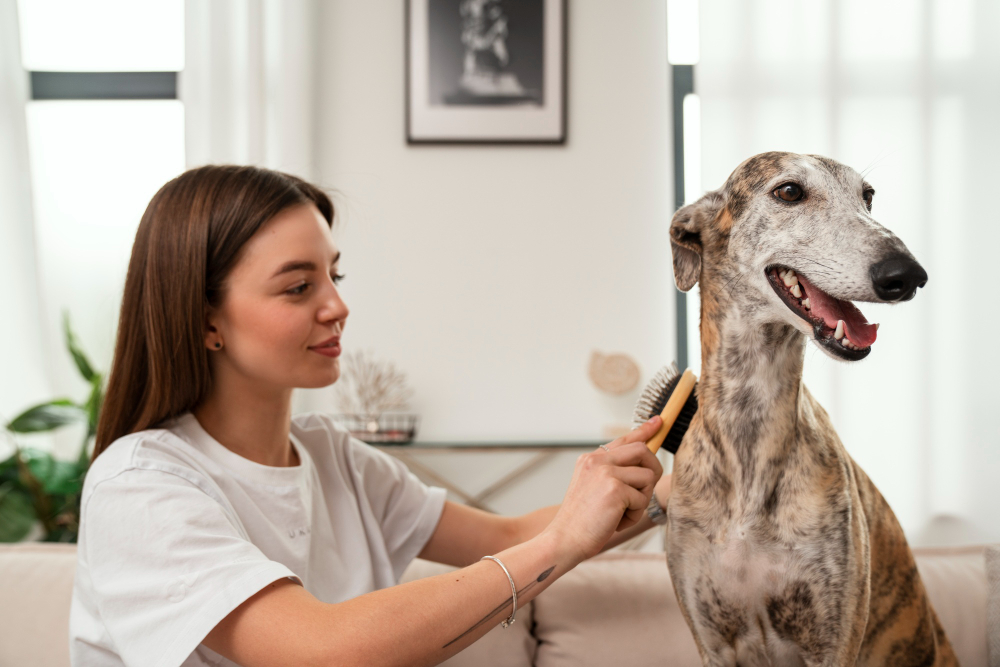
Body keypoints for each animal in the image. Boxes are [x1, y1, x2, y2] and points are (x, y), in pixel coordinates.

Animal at [668, 153, 956, 667]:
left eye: (868, 196)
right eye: (788, 192)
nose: (908, 275)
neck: (752, 431)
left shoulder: (832, 638)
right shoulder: (712, 640)